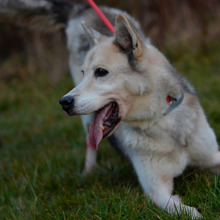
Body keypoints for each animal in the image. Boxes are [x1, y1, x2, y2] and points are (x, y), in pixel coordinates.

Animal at [1, 0, 218, 217]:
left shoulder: (213, 156)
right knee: (89, 143)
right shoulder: (157, 190)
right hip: (86, 117)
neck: (159, 119)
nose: (64, 102)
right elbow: (187, 212)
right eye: (84, 73)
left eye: (101, 72)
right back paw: (89, 171)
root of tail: (82, 8)